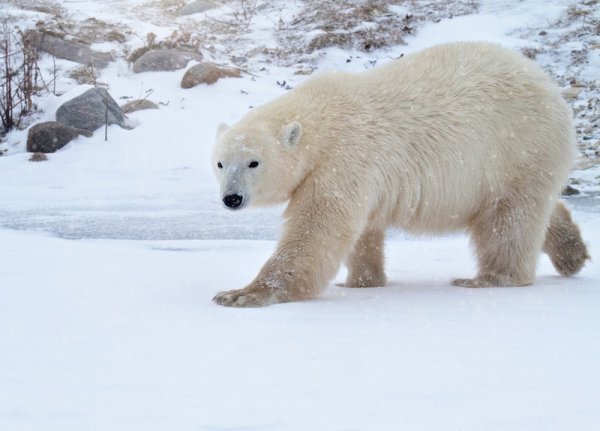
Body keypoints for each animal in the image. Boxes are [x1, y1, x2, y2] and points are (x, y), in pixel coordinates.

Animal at [212, 41, 592, 308]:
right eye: (219, 163)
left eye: (253, 162)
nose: (232, 198)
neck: (322, 120)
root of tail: (549, 85)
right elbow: (362, 231)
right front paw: (361, 281)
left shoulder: (342, 158)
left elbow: (317, 227)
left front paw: (241, 294)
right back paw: (571, 252)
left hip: (517, 147)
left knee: (508, 218)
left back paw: (491, 278)